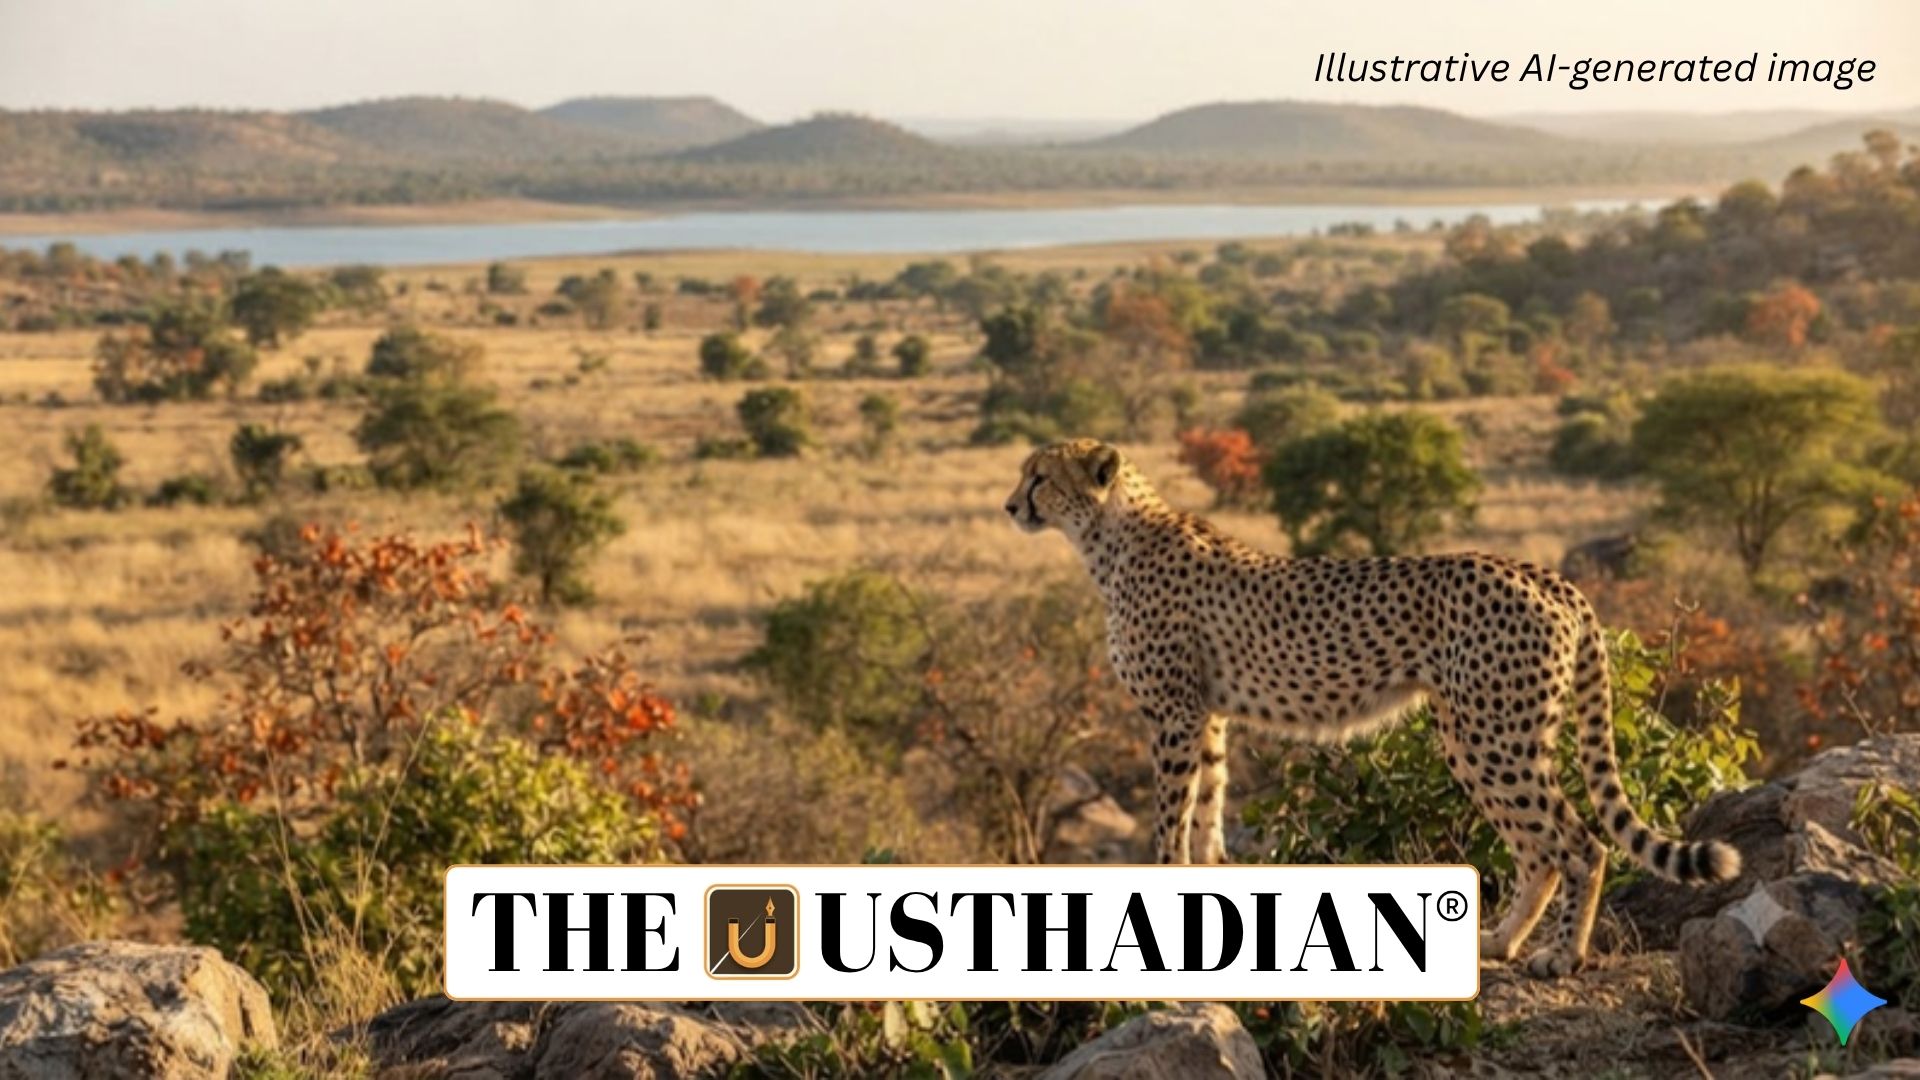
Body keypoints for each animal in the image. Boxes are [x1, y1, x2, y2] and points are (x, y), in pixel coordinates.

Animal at [1004, 438, 1741, 976]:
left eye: (1039, 477)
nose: (1012, 507)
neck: (1109, 538)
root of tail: (1548, 575)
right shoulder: (1206, 715)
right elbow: (1208, 811)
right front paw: (1205, 890)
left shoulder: (1175, 715)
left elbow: (1170, 820)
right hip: (1481, 735)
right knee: (1538, 850)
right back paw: (1501, 942)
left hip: (1492, 734)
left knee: (1579, 843)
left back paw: (1561, 956)